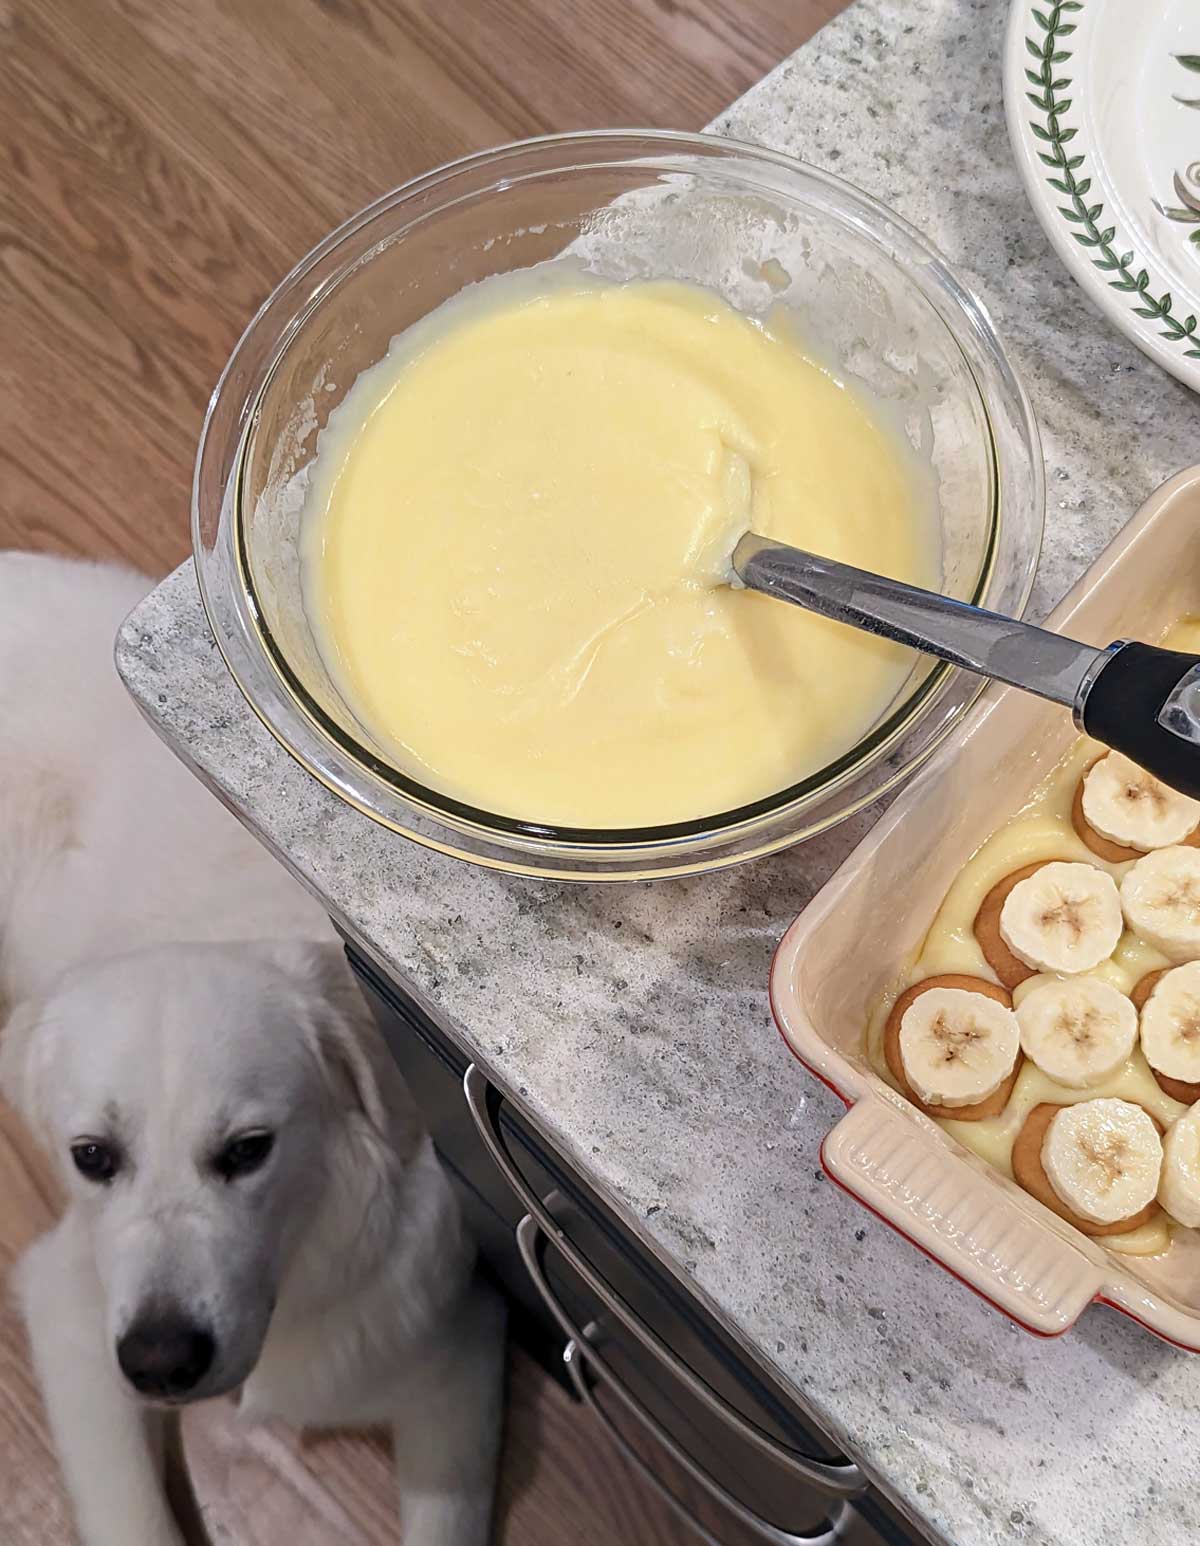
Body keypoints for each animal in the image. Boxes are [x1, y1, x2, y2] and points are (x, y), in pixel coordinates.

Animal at [0, 556, 507, 1546]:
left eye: (248, 1152)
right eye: (92, 1158)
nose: (162, 1362)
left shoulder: (454, 1368)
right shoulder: (72, 1318)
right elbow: (131, 1518)